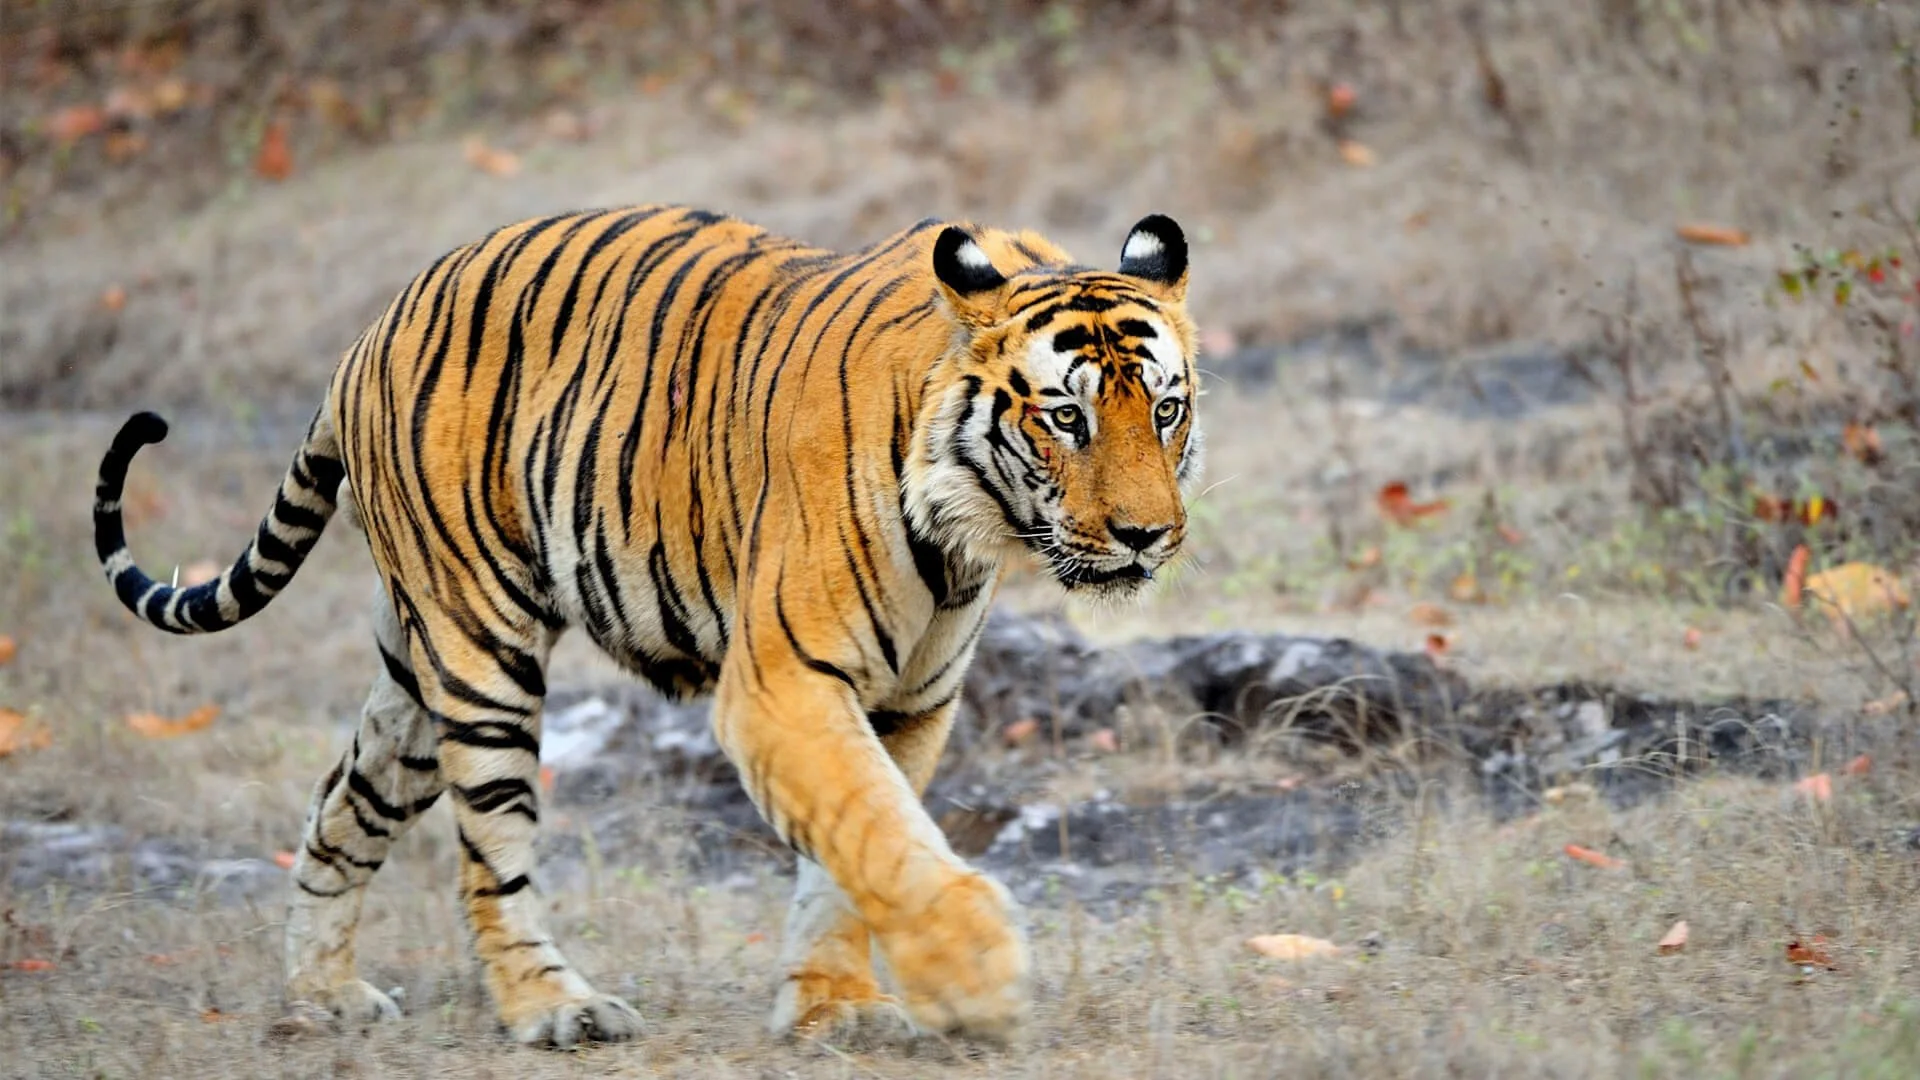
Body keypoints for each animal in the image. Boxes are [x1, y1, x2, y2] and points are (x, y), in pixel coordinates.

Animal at [91, 204, 1201, 1048]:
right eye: (1066, 418)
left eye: (1168, 410)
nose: (1147, 535)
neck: (969, 523)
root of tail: (368, 333)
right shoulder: (782, 684)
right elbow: (881, 834)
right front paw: (975, 974)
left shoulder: (910, 703)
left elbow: (851, 856)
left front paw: (835, 1007)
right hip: (481, 652)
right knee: (489, 857)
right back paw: (554, 1010)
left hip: (412, 680)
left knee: (341, 807)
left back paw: (322, 994)